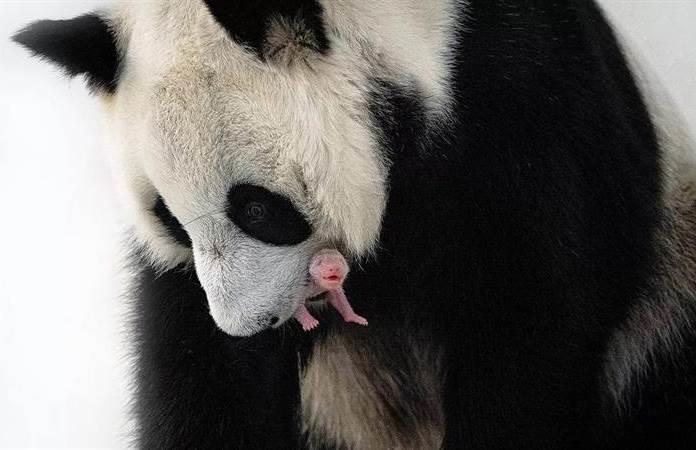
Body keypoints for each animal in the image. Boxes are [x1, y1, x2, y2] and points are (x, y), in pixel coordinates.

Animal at [13, 0, 696, 448]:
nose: (249, 323)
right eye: (169, 219)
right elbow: (202, 366)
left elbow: (533, 317)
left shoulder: (528, 111)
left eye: (257, 208)